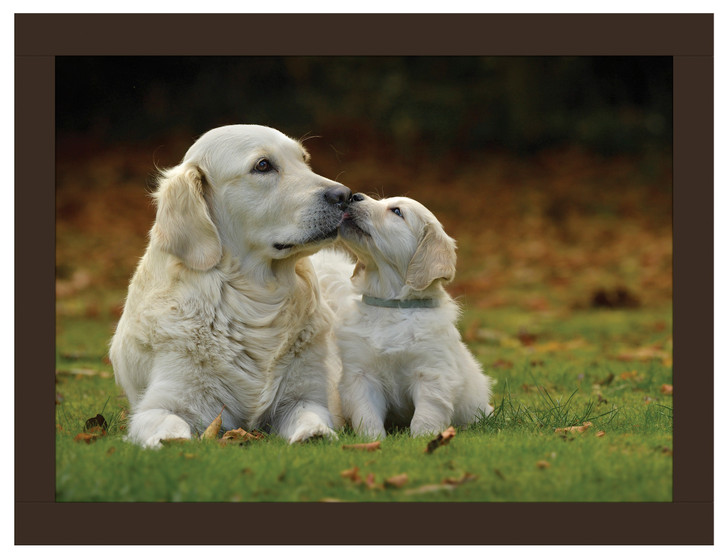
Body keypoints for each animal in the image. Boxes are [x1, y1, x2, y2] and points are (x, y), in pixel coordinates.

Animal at [109, 124, 352, 448]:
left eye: (303, 159)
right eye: (263, 166)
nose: (344, 195)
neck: (255, 301)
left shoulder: (306, 395)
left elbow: (309, 413)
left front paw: (314, 434)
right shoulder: (160, 404)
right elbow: (169, 424)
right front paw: (172, 442)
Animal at [312, 195, 494, 440]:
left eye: (397, 211)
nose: (354, 196)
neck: (391, 305)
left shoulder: (432, 373)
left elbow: (425, 415)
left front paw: (423, 439)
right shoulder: (361, 375)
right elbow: (366, 414)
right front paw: (372, 440)